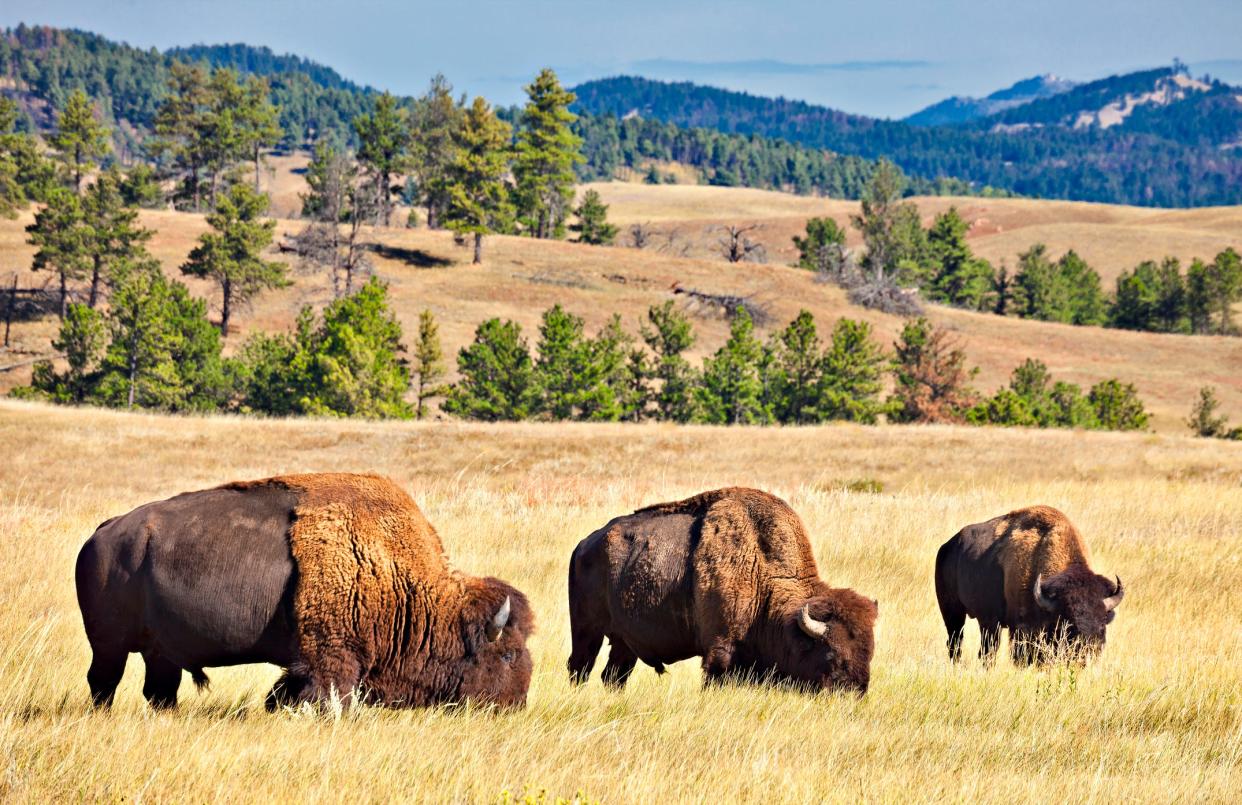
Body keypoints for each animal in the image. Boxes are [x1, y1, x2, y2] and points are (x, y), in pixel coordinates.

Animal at [76, 474, 534, 705]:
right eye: (507, 654)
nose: (515, 704)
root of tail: (103, 532)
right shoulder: (331, 658)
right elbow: (329, 695)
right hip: (109, 644)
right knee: (103, 682)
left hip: (160, 651)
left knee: (159, 689)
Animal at [568, 486, 879, 695]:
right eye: (832, 654)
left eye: (869, 653)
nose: (856, 693)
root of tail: (584, 544)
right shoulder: (719, 649)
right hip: (586, 631)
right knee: (579, 667)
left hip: (624, 641)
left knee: (613, 675)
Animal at [933, 501, 1127, 665]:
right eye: (1068, 624)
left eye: (1102, 623)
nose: (1088, 650)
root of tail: (947, 547)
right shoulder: (1021, 629)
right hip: (954, 612)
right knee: (960, 643)